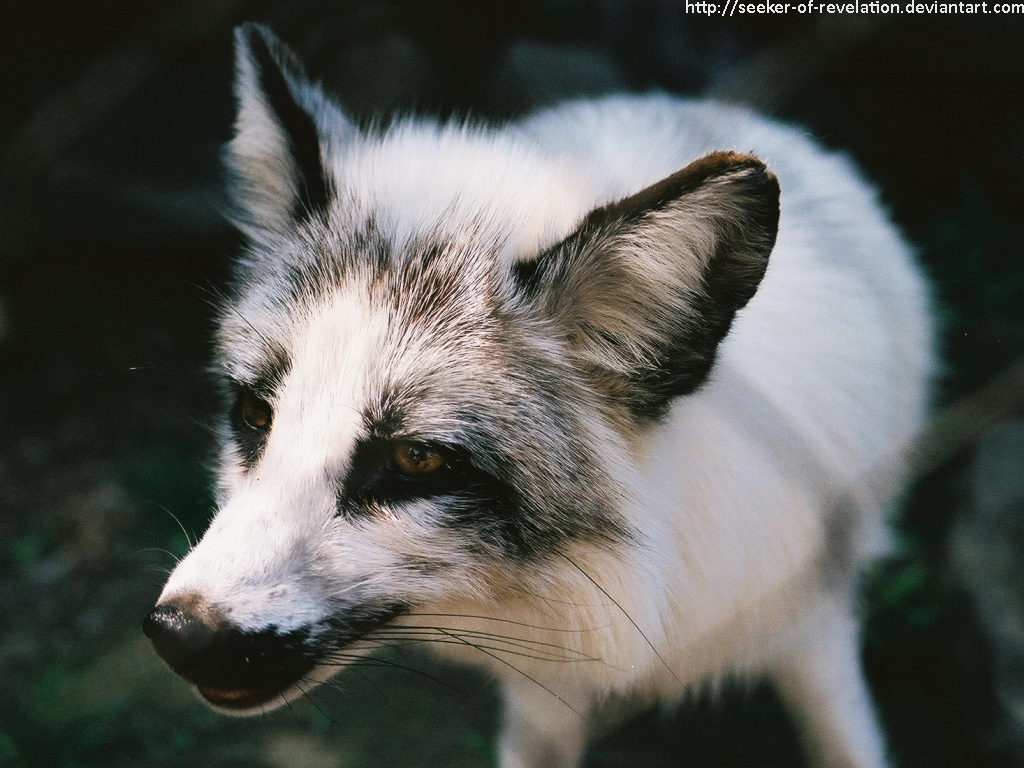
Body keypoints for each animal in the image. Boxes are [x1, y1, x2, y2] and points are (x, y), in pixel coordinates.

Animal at [146, 24, 937, 768]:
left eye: (417, 461)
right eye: (255, 414)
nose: (176, 632)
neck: (649, 583)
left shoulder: (811, 620)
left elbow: (845, 741)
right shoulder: (547, 683)